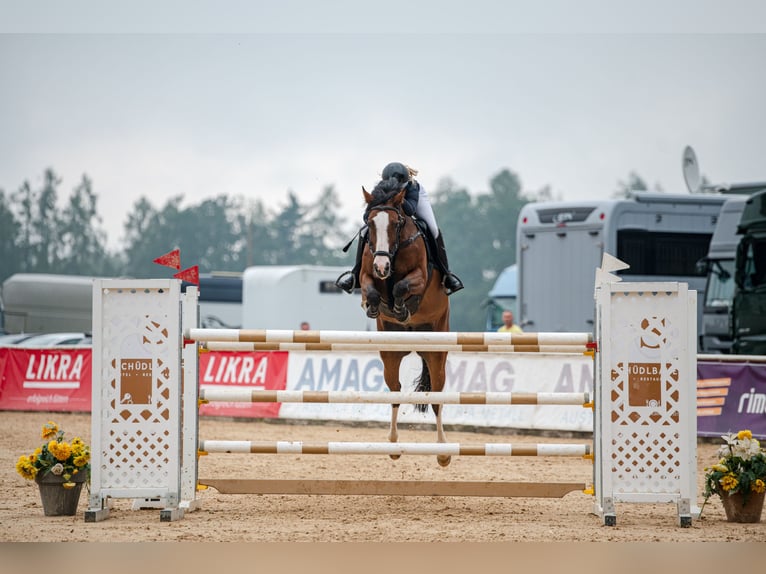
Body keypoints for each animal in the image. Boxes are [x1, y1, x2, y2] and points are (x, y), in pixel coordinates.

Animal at [358, 180, 452, 466]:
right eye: (369, 222)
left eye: (396, 223)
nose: (382, 266)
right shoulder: (366, 275)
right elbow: (372, 290)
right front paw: (376, 306)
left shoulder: (420, 276)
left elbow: (401, 286)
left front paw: (400, 307)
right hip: (391, 353)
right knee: (395, 392)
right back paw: (393, 445)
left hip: (436, 352)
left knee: (437, 398)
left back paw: (443, 452)